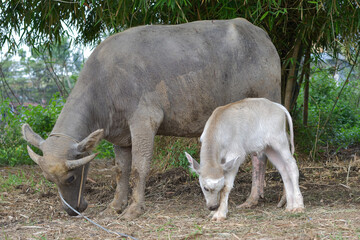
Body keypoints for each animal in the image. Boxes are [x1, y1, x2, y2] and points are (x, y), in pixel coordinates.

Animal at [22, 17, 282, 218]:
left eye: (71, 178)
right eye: (49, 179)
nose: (71, 210)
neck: (105, 85)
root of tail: (263, 36)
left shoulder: (144, 121)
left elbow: (140, 166)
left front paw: (134, 209)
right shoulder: (121, 136)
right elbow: (121, 169)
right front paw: (115, 206)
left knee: (264, 154)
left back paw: (261, 199)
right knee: (259, 154)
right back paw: (257, 197)